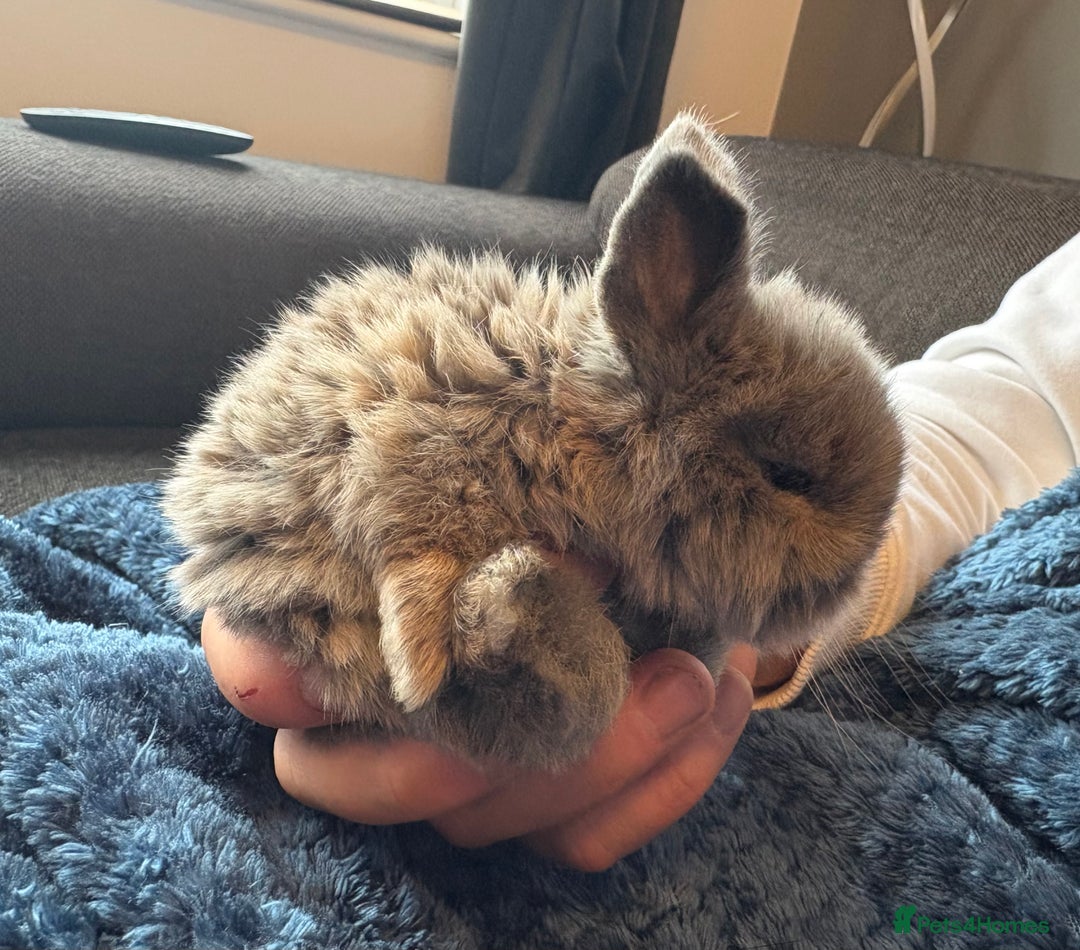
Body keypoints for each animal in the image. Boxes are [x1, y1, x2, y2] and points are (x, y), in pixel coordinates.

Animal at [162, 113, 905, 770]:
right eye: (786, 472)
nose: (854, 584)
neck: (581, 428)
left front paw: (474, 619)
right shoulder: (411, 452)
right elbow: (409, 542)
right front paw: (420, 653)